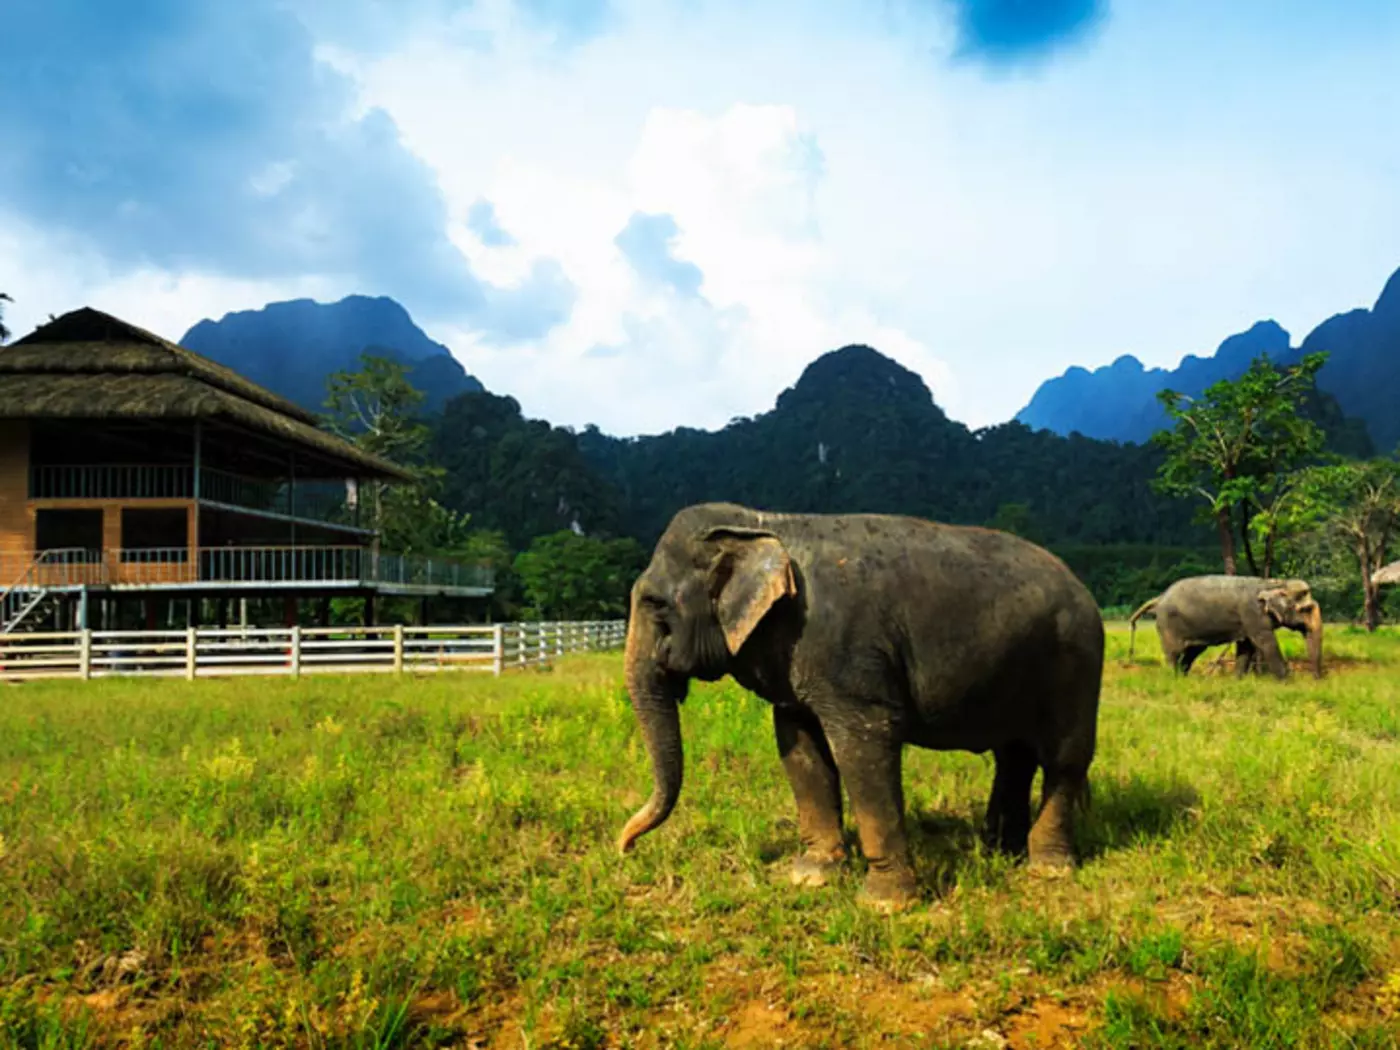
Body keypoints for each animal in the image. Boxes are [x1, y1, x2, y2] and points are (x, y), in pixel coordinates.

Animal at [615, 502, 1105, 909]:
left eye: (655, 603)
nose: (625, 847)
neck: (764, 524)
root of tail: (1083, 586)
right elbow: (799, 748)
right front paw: (811, 877)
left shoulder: (850, 659)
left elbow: (863, 749)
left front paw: (885, 903)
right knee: (1014, 755)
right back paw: (999, 852)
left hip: (1076, 663)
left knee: (1063, 759)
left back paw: (1048, 869)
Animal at [1127, 575, 1323, 679]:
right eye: (1306, 609)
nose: (1316, 679)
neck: (1272, 583)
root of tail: (1158, 598)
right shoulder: (1252, 614)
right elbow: (1266, 643)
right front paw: (1287, 681)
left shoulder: (1247, 621)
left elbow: (1246, 647)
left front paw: (1238, 680)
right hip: (1168, 625)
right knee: (1173, 653)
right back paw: (1173, 678)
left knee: (1192, 652)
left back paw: (1184, 678)